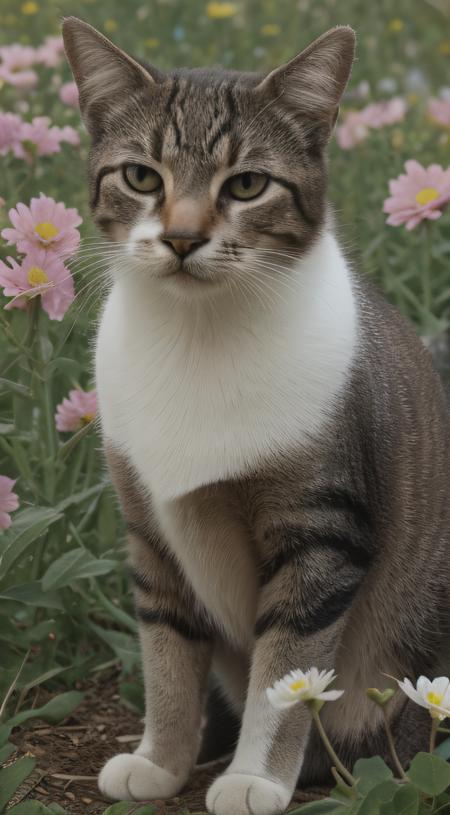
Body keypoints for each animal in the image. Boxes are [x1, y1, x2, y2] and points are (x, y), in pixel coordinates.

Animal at [62, 19, 450, 815]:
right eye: (142, 177)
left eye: (246, 185)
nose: (181, 238)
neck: (196, 336)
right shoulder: (150, 532)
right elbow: (167, 658)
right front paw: (160, 760)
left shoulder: (320, 535)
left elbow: (287, 672)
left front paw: (253, 778)